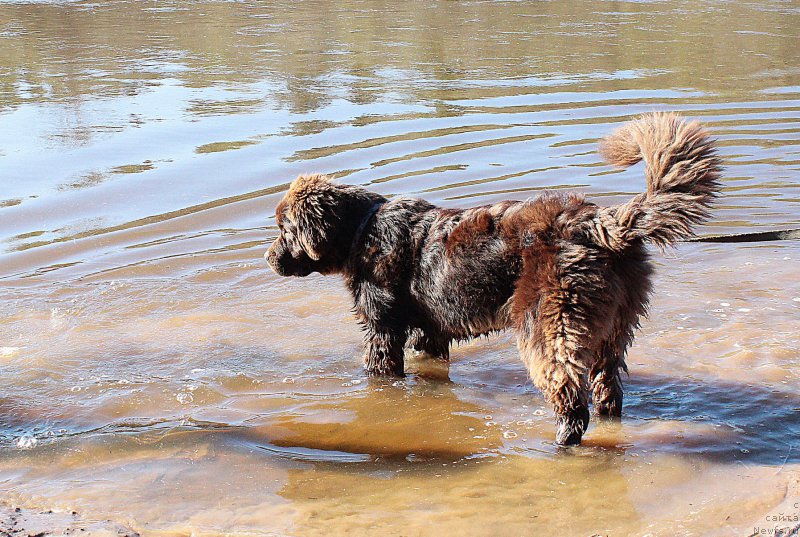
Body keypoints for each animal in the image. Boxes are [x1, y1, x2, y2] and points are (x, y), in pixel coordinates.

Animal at [266, 113, 720, 444]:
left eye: (284, 229)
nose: (269, 258)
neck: (361, 230)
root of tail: (598, 222)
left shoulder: (381, 329)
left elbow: (380, 368)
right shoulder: (429, 330)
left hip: (551, 322)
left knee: (569, 390)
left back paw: (562, 440)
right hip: (615, 325)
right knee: (608, 387)